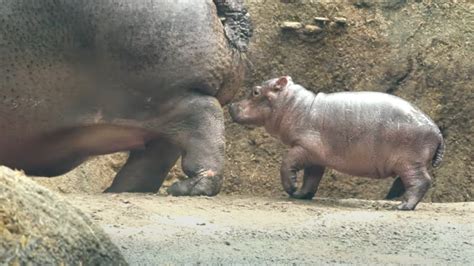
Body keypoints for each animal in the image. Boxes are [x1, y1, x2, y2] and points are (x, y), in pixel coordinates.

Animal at [230, 76, 444, 210]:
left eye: (255, 91)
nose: (231, 104)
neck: (294, 105)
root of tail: (437, 131)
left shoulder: (303, 147)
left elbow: (287, 163)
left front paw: (291, 188)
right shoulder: (316, 157)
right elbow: (311, 179)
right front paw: (301, 194)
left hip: (410, 161)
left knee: (421, 181)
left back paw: (403, 206)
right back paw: (396, 198)